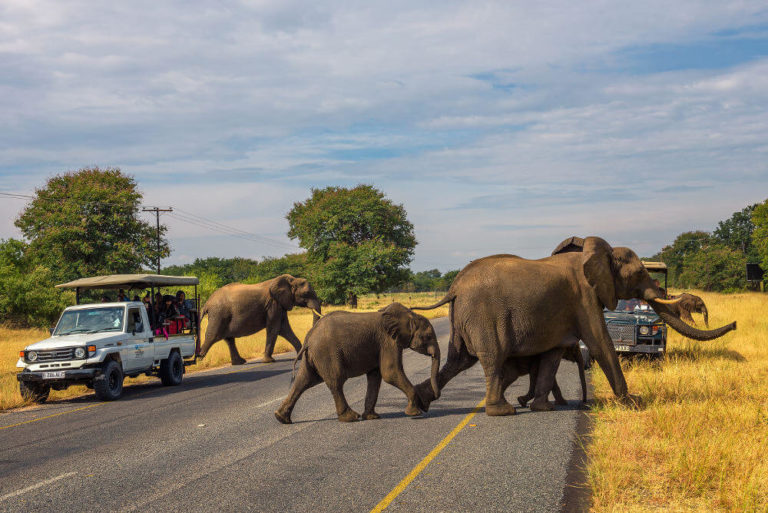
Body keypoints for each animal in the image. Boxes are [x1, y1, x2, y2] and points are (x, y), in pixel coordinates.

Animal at [274, 302, 440, 422]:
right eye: (428, 337)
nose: (427, 406)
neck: (410, 316)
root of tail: (309, 337)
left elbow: (375, 376)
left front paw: (372, 417)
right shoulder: (388, 341)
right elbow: (390, 372)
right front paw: (414, 413)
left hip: (314, 356)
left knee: (304, 381)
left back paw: (281, 418)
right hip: (326, 353)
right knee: (335, 381)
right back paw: (350, 418)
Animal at [414, 236, 736, 416]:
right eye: (638, 274)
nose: (734, 324)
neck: (600, 253)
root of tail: (454, 287)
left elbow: (552, 355)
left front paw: (544, 407)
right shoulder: (584, 297)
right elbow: (601, 342)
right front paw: (633, 402)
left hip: (463, 318)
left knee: (459, 360)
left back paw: (418, 403)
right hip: (484, 317)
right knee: (491, 358)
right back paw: (501, 411)